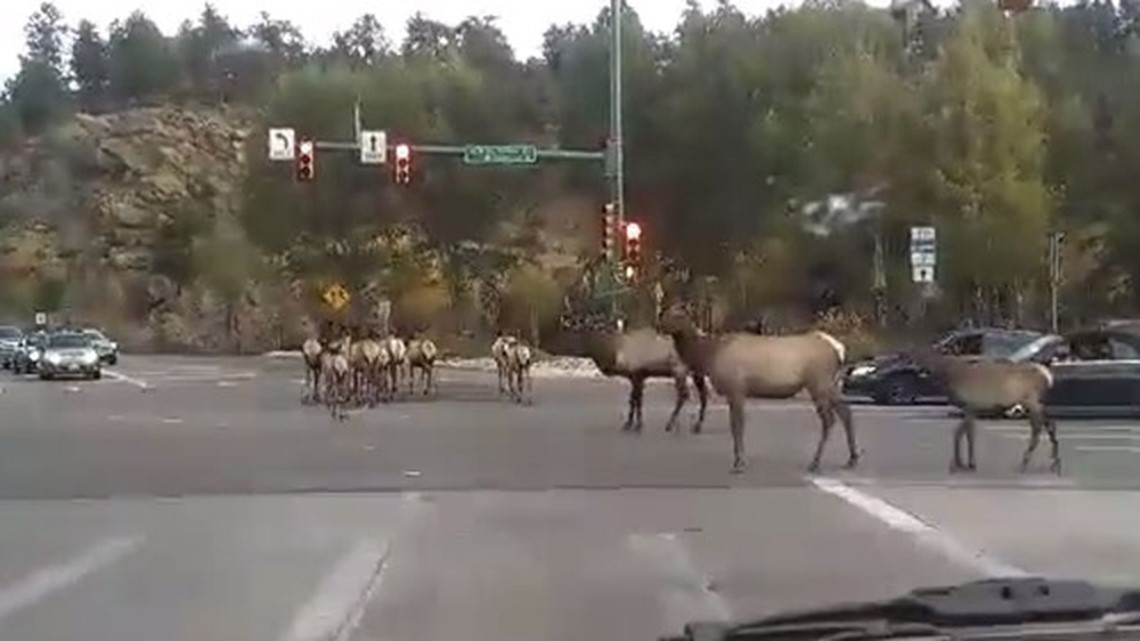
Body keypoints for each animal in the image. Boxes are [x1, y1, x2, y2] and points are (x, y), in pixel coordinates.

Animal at [907, 346, 1057, 472]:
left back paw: (1027, 462)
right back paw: (1053, 462)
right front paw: (959, 463)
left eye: (918, 354)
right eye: (912, 354)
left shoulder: (970, 404)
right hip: (1034, 402)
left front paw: (968, 464)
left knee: (1038, 427)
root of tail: (1049, 377)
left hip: (1030, 400)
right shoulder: (971, 408)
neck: (950, 377)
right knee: (1048, 424)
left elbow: (968, 434)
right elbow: (959, 433)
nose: (909, 368)